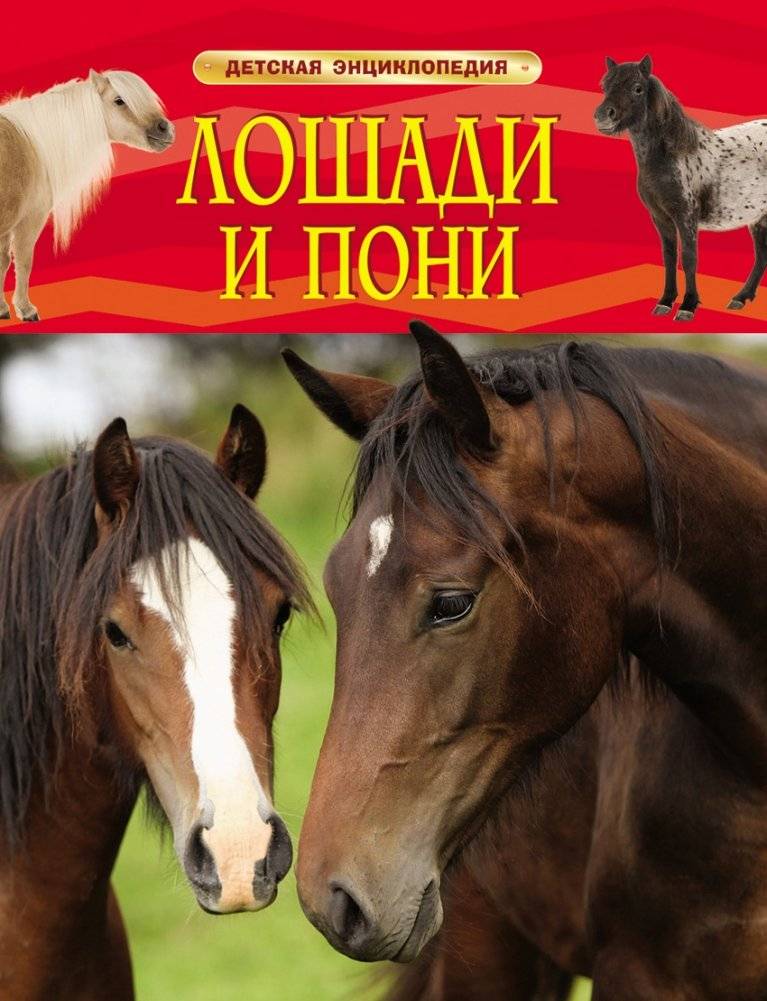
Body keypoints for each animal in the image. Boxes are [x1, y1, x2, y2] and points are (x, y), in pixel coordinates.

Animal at [0, 70, 174, 322]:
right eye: (119, 100)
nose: (165, 128)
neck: (34, 146)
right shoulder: (29, 219)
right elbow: (23, 261)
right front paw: (26, 309)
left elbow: (3, 262)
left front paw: (2, 308)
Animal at [594, 55, 767, 321]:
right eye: (605, 86)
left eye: (637, 88)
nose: (604, 116)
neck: (673, 154)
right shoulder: (661, 218)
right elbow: (669, 257)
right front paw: (665, 302)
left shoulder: (686, 217)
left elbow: (688, 258)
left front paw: (687, 306)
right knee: (761, 254)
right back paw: (740, 298)